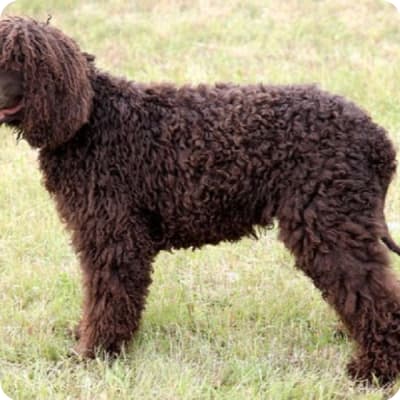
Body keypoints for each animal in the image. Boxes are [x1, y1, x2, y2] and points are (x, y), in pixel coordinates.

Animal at [0, 16, 400, 384]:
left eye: (19, 59)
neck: (91, 119)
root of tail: (377, 138)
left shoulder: (115, 236)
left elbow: (109, 298)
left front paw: (95, 353)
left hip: (329, 223)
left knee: (373, 294)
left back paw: (376, 369)